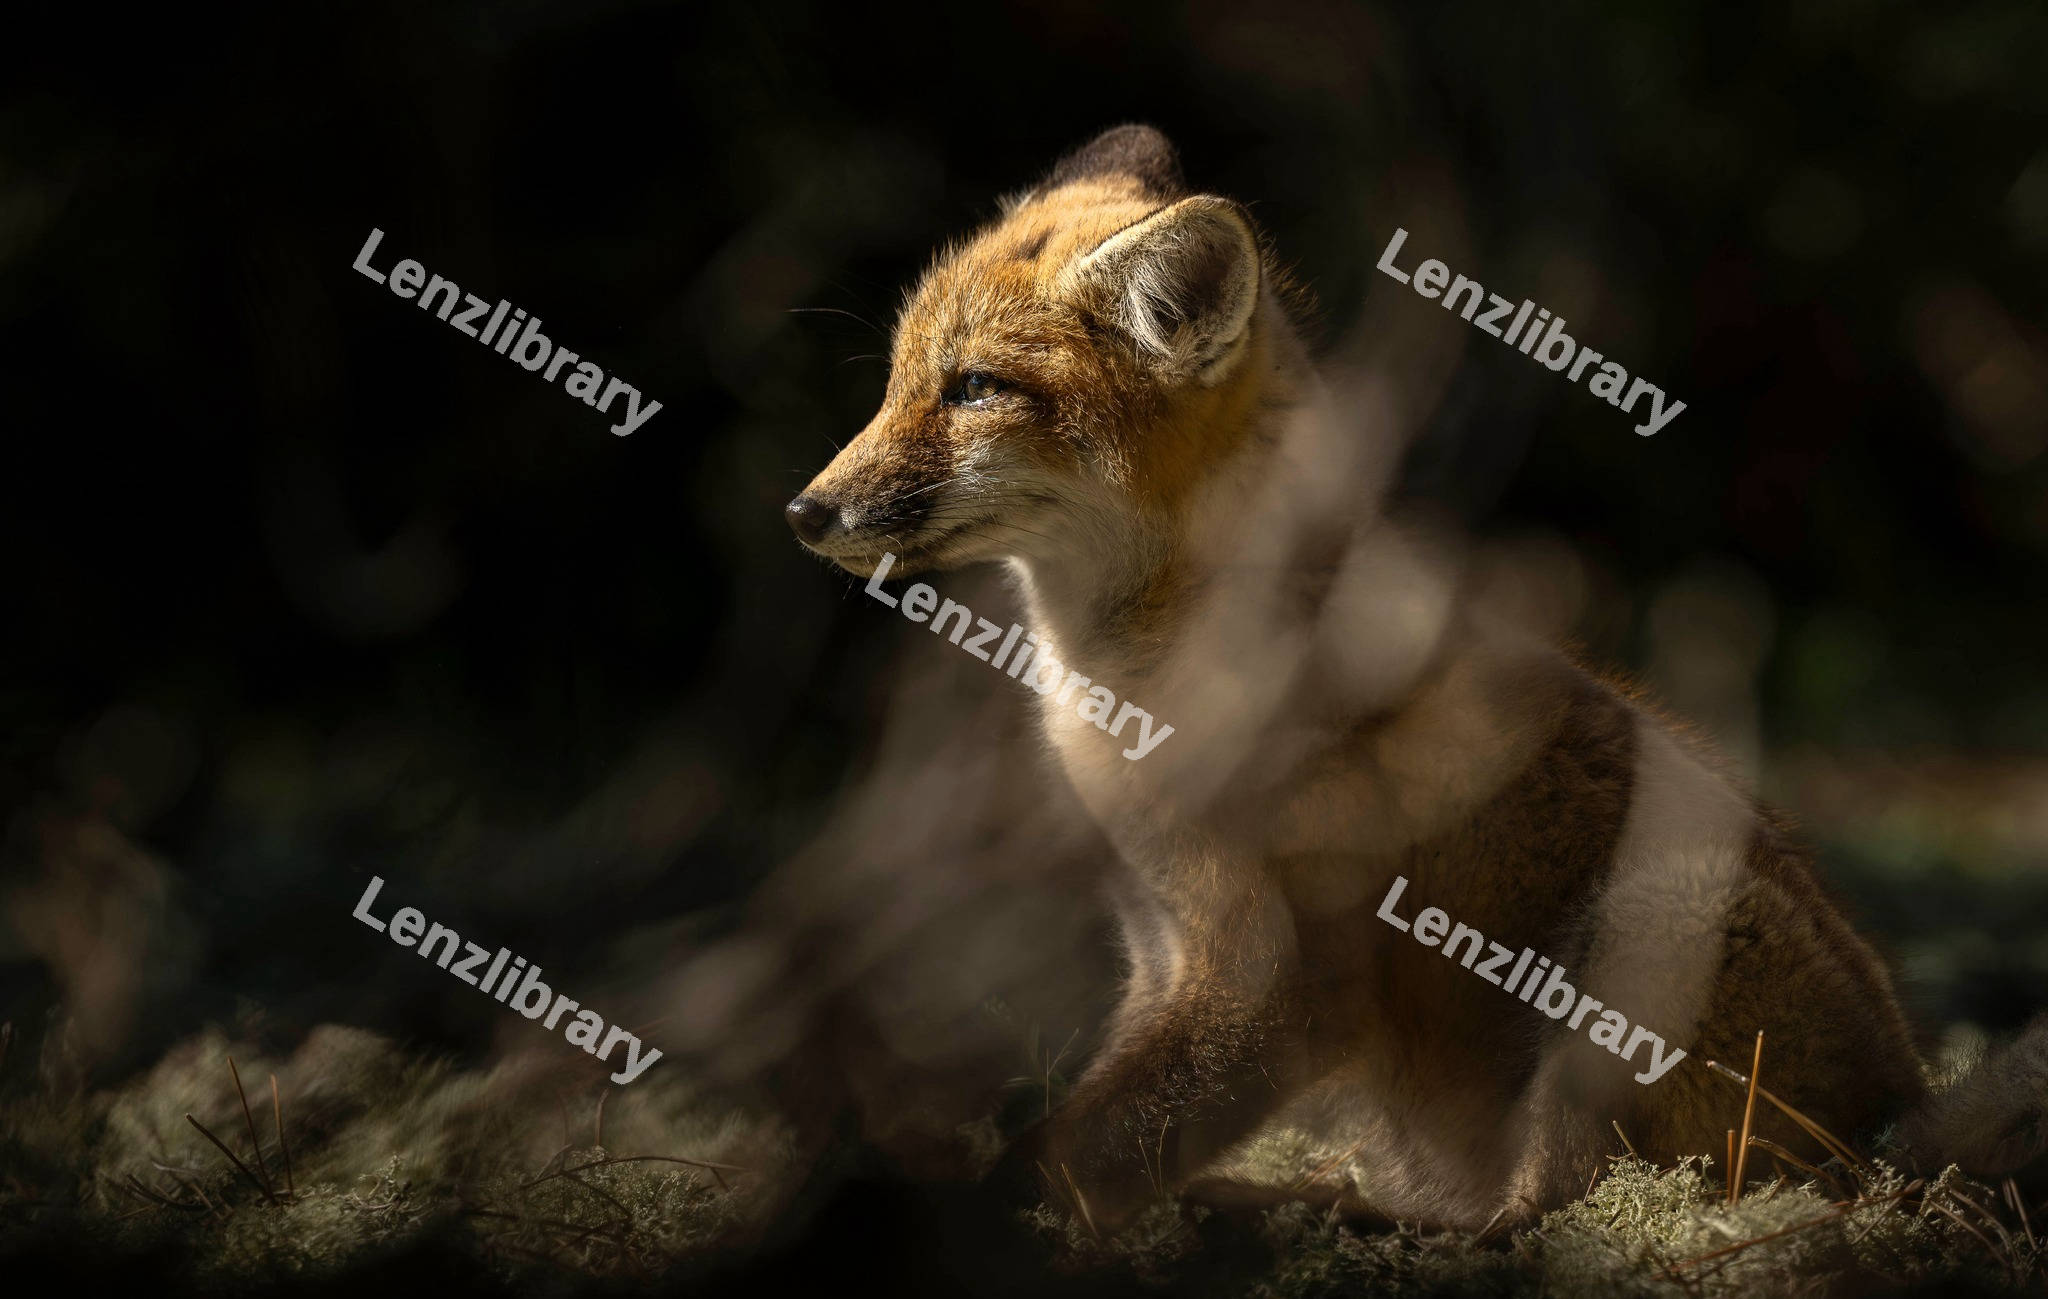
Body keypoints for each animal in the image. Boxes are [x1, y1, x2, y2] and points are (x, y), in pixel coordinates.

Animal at [785, 124, 2048, 1229]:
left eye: (972, 389)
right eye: (895, 380)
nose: (804, 511)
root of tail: (1896, 1118)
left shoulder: (1271, 986)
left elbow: (1073, 1152)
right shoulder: (1159, 946)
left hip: (1647, 925)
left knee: (1548, 1214)